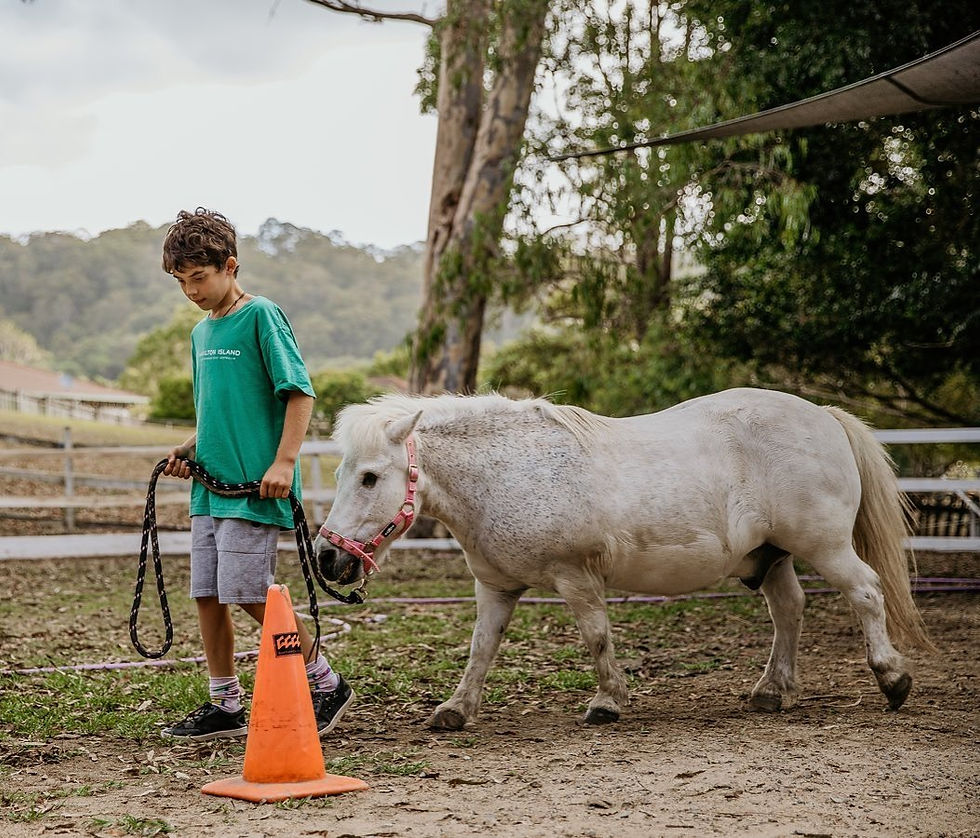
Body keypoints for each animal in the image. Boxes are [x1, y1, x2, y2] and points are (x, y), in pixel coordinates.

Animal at [314, 387, 930, 730]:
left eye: (370, 477)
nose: (325, 559)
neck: (507, 472)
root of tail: (823, 415)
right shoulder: (496, 587)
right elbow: (480, 649)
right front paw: (457, 710)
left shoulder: (575, 577)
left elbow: (596, 637)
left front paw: (608, 702)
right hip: (772, 557)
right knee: (790, 611)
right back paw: (771, 691)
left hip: (824, 547)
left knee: (865, 592)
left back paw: (892, 678)